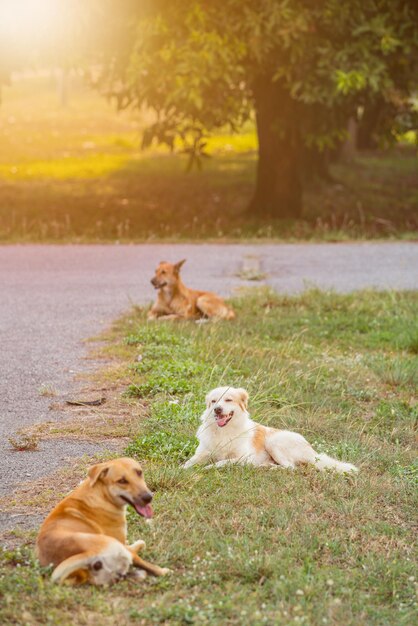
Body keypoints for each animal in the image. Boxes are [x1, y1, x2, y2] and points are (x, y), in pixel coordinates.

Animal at [36, 456, 170, 584]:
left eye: (139, 472)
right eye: (122, 481)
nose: (148, 497)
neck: (101, 494)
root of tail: (88, 555)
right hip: (117, 547)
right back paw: (163, 570)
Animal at [184, 382, 360, 470]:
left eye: (228, 400)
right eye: (214, 401)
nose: (217, 409)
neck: (224, 431)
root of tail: (312, 451)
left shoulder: (245, 457)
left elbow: (222, 462)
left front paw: (209, 467)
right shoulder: (202, 453)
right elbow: (189, 462)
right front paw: (181, 469)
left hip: (274, 442)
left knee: (290, 467)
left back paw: (270, 468)